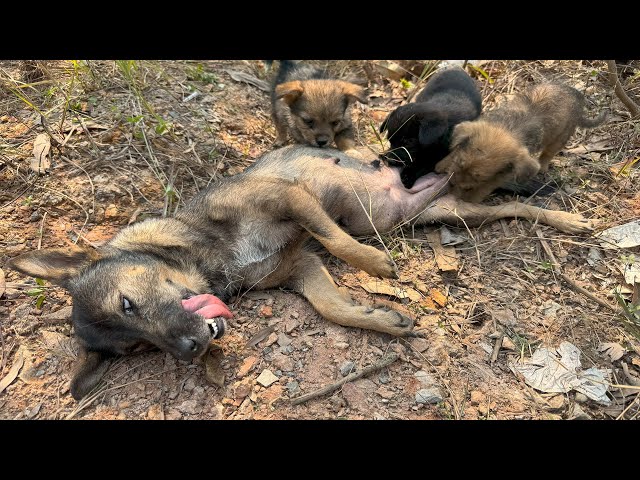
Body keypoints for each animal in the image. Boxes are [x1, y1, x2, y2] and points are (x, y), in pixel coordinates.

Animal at [6, 144, 596, 400]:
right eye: (136, 349)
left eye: (127, 304)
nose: (191, 350)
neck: (210, 259)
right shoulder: (300, 267)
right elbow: (333, 307)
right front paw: (382, 319)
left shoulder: (290, 200)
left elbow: (338, 240)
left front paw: (375, 265)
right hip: (439, 214)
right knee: (503, 209)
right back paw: (564, 217)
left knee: (511, 194)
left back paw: (566, 213)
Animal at [436, 82, 604, 202]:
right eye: (459, 163)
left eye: (480, 178)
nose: (451, 185)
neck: (509, 128)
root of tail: (578, 99)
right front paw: (442, 165)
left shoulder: (503, 175)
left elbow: (488, 186)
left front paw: (469, 198)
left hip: (560, 137)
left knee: (548, 154)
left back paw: (543, 167)